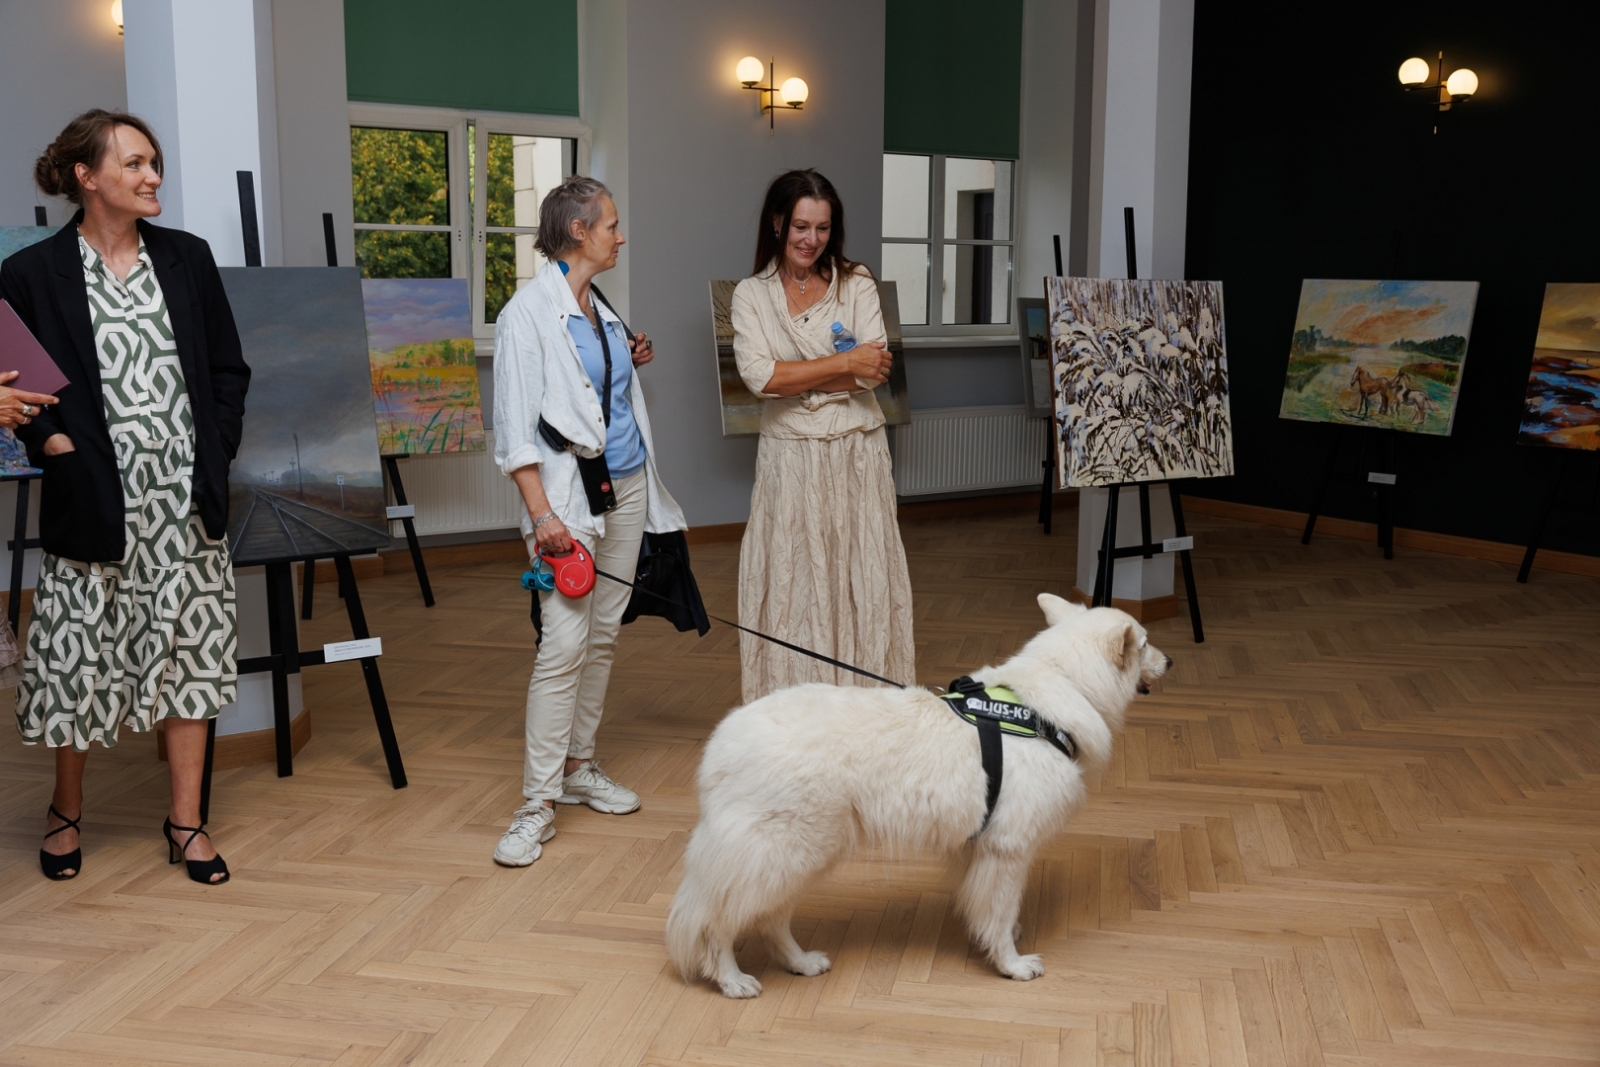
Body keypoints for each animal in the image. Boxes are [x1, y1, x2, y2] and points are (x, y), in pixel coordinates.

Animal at [668, 598, 1171, 998]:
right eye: (1146, 644)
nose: (1171, 662)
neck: (1056, 693)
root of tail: (721, 745)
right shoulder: (1009, 850)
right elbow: (1001, 910)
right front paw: (1011, 964)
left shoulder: (980, 849)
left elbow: (990, 910)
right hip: (783, 856)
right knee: (714, 923)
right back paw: (732, 980)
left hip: (797, 858)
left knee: (769, 920)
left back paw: (801, 962)